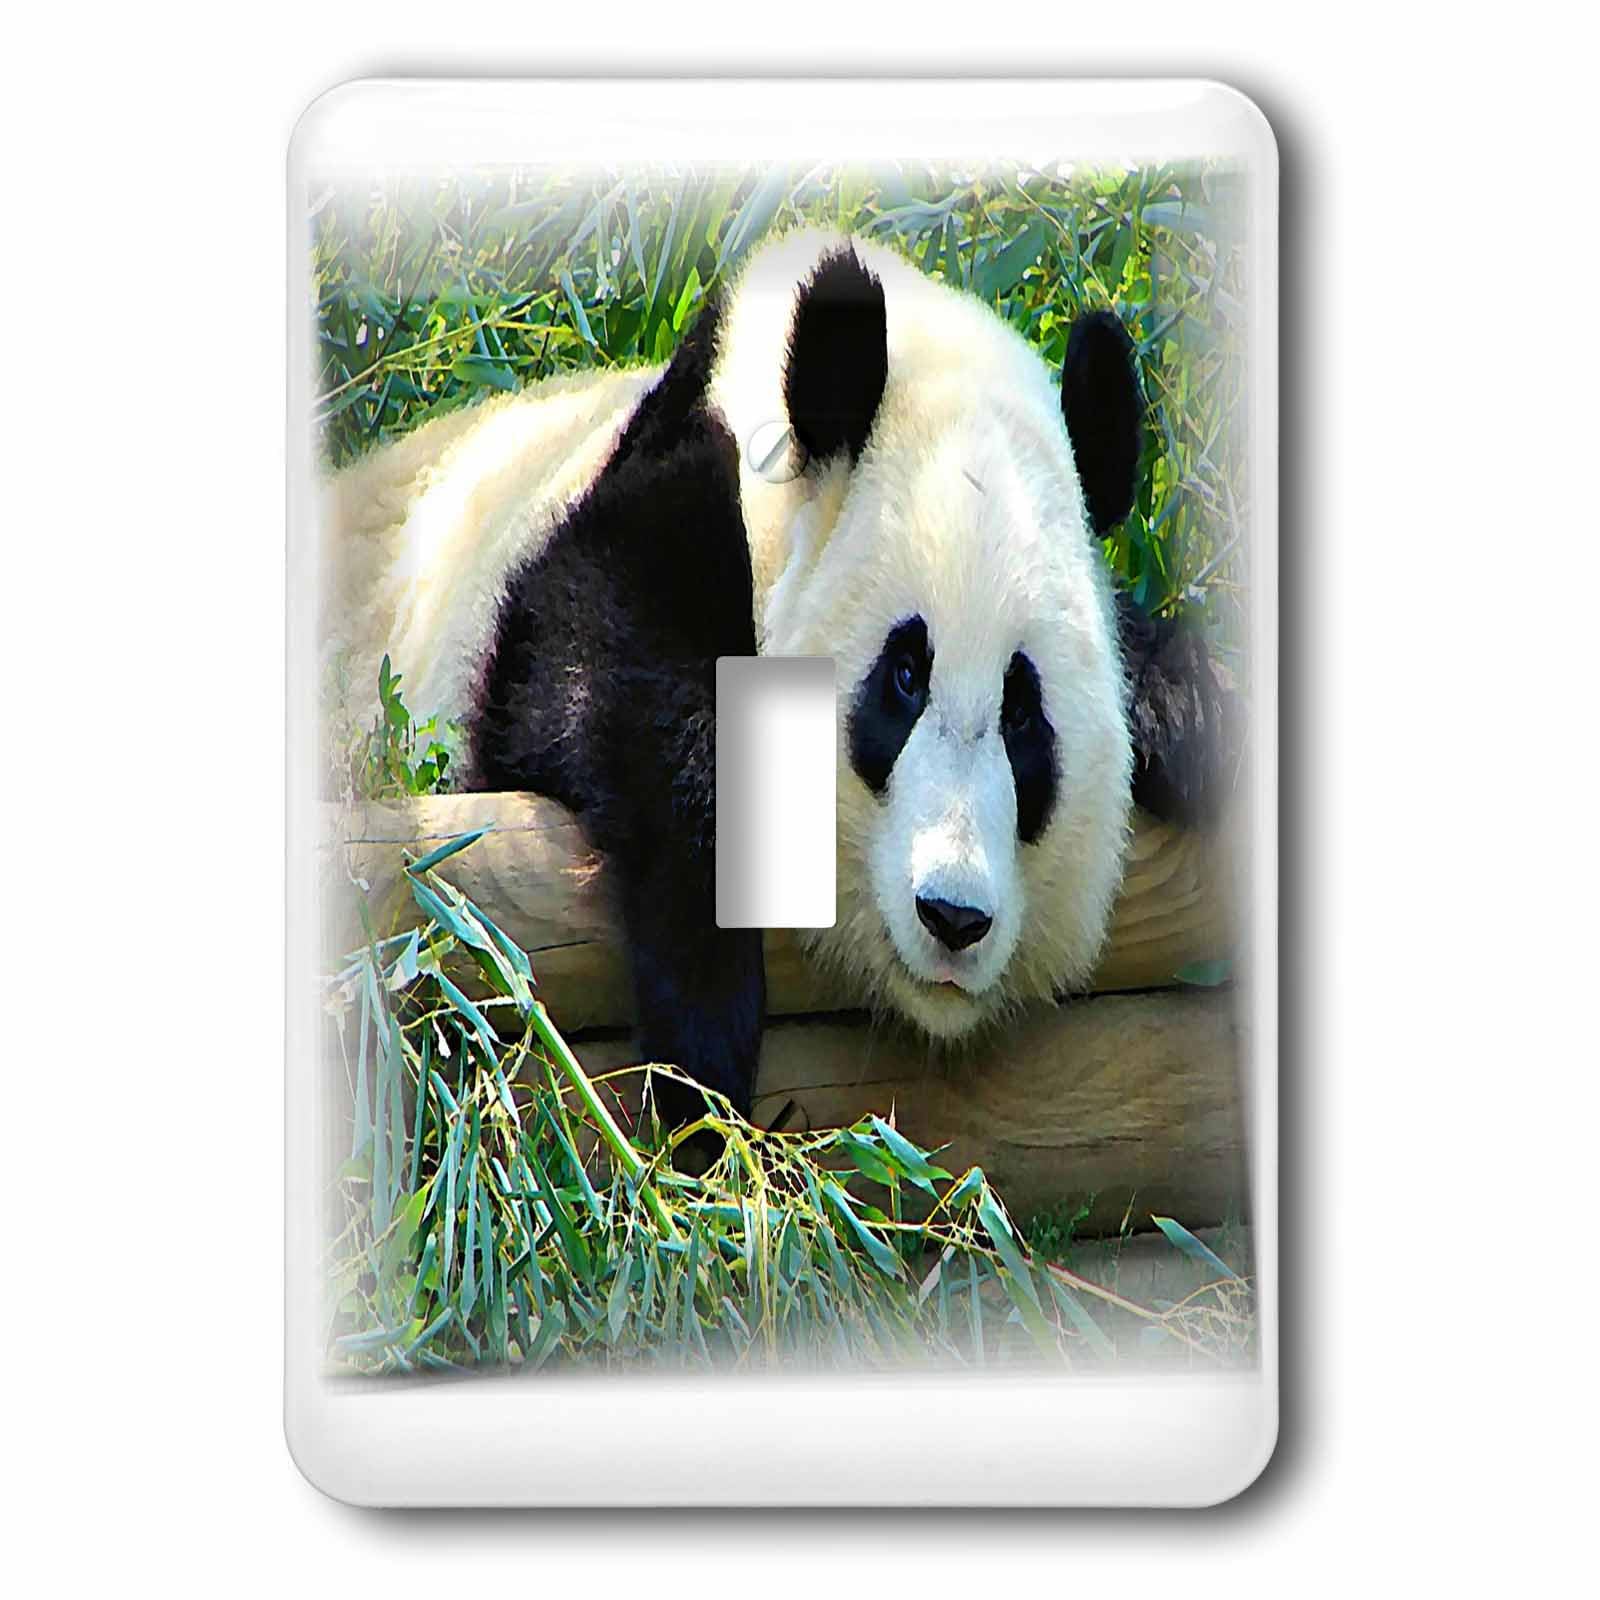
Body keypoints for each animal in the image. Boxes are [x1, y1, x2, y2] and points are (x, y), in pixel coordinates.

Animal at [324, 228, 1231, 1131]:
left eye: (1022, 715)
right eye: (905, 677)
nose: (954, 917)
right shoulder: (639, 516)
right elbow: (606, 695)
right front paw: (701, 1059)